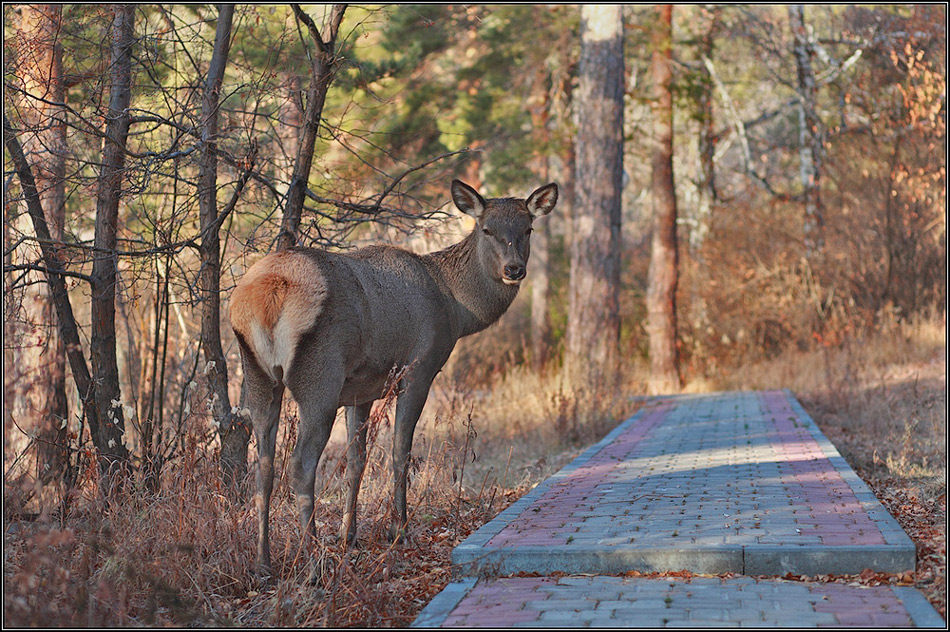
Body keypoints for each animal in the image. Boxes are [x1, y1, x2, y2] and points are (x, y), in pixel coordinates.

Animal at [231, 178, 556, 576]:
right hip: (319, 375)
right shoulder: (419, 368)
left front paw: (349, 536)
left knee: (263, 465)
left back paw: (263, 561)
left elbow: (356, 462)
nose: (514, 269)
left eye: (527, 229)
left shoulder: (359, 389)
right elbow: (401, 451)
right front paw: (397, 530)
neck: (456, 310)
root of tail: (265, 297)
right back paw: (312, 563)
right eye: (487, 229)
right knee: (301, 465)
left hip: (258, 374)